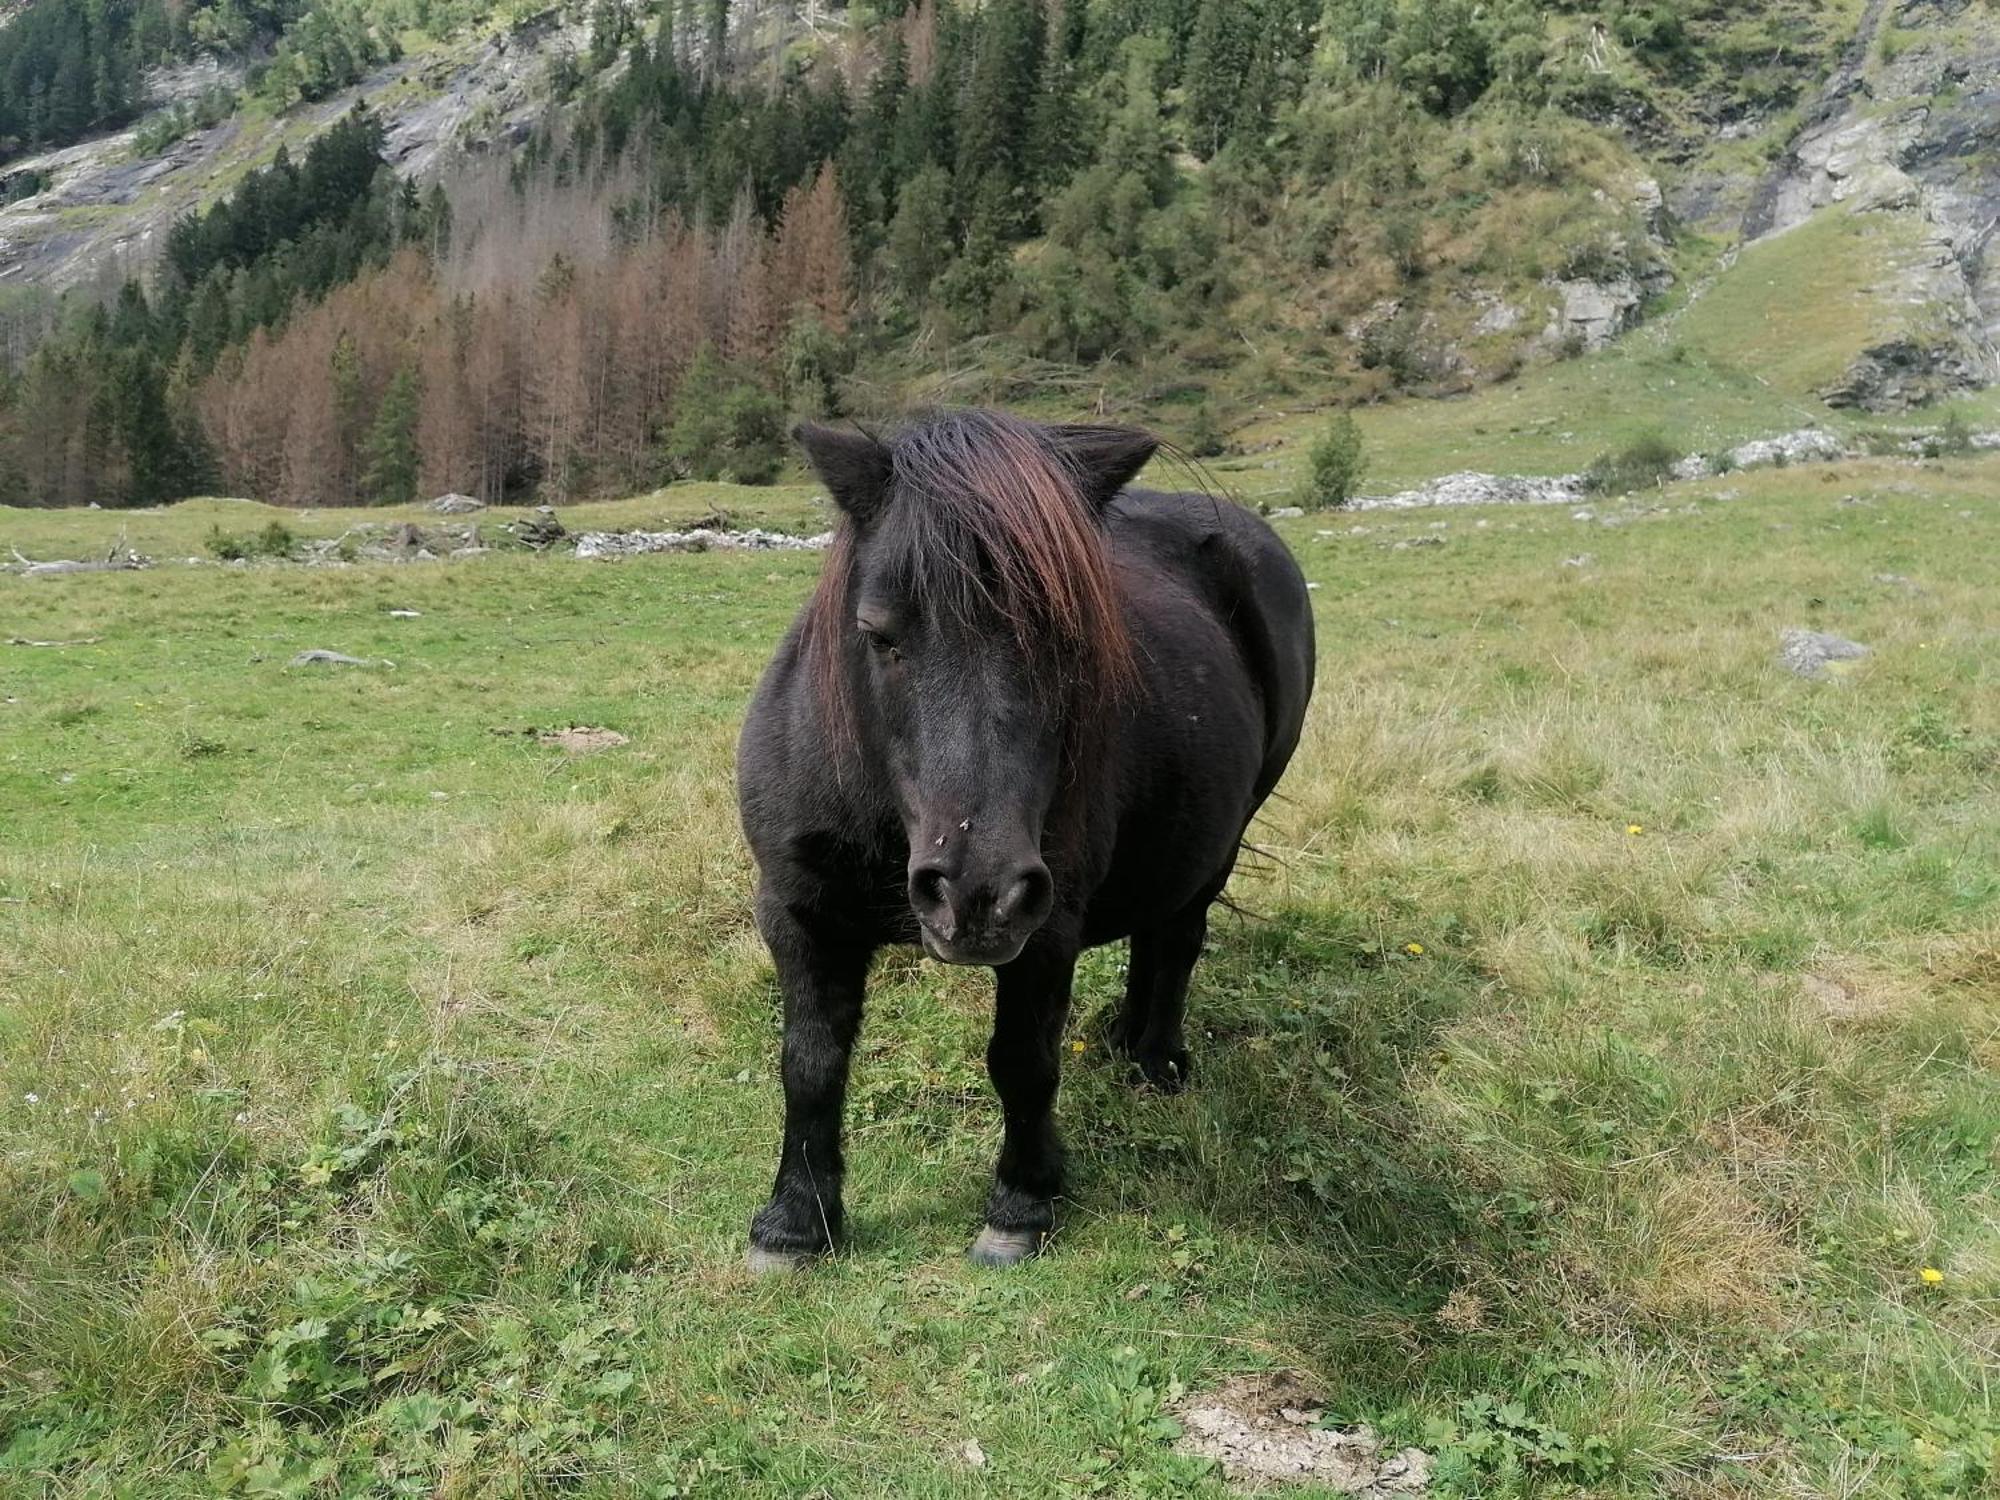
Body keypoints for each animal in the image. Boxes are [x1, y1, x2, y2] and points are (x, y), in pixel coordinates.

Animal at [736, 412, 1312, 1272]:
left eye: (1075, 639)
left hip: (1223, 840)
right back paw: (1123, 1036)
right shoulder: (797, 912)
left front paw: (1020, 1203)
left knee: (1177, 939)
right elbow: (810, 1061)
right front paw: (795, 1223)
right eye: (879, 635)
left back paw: (1155, 1059)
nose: (977, 893)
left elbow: (1021, 1060)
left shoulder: (1047, 926)